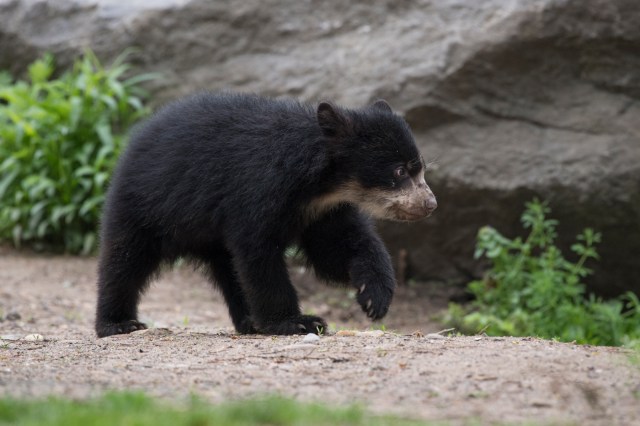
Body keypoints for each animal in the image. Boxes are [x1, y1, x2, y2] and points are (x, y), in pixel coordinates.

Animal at [95, 92, 437, 338]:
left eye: (419, 167)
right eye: (399, 171)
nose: (430, 204)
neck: (319, 186)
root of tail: (132, 142)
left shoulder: (325, 210)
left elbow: (338, 248)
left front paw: (374, 297)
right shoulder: (257, 189)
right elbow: (258, 253)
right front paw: (298, 322)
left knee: (230, 271)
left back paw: (249, 321)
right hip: (146, 206)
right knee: (125, 261)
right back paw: (118, 324)